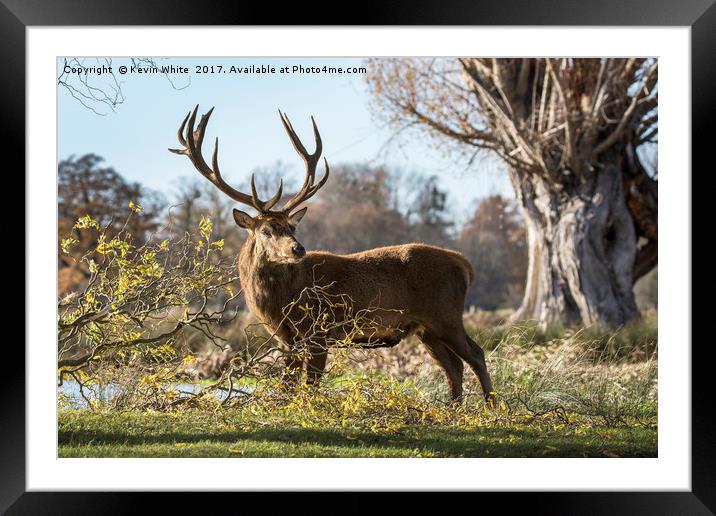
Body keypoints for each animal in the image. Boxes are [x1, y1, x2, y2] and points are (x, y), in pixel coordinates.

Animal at [169, 105, 492, 404]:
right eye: (266, 230)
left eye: (291, 226)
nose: (298, 248)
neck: (279, 303)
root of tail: (465, 265)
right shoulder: (287, 339)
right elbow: (288, 384)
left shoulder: (318, 332)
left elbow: (310, 385)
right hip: (425, 328)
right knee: (453, 366)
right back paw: (454, 409)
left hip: (446, 314)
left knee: (475, 354)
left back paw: (491, 406)